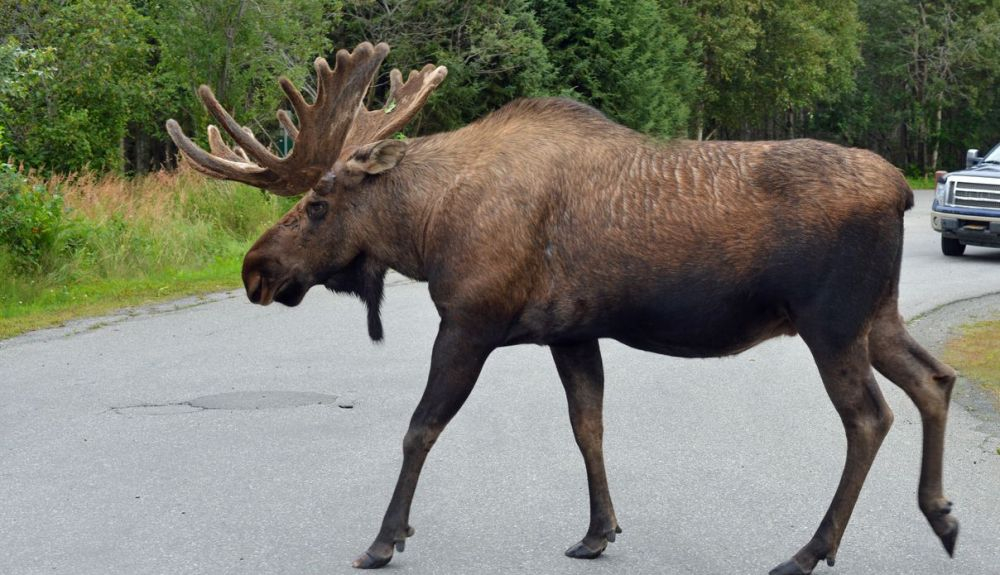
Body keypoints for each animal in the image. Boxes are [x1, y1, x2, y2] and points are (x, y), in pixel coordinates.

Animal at [166, 42, 960, 572]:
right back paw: (941, 515)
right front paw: (598, 530)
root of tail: (903, 189)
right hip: (876, 316)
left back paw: (811, 548)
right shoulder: (571, 333)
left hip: (829, 322)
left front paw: (385, 538)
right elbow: (589, 428)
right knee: (935, 379)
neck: (425, 229)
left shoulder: (470, 321)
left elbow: (419, 429)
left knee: (870, 417)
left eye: (318, 204)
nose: (255, 268)